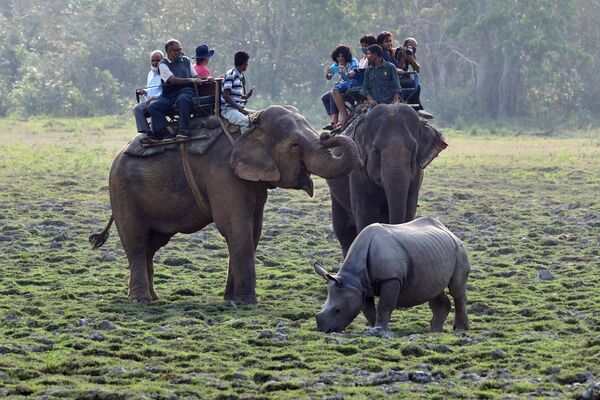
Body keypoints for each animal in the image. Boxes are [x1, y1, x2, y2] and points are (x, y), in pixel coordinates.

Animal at [91, 104, 358, 302]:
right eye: (294, 146)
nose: (327, 133)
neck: (248, 125)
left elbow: (253, 231)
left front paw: (231, 298)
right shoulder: (222, 175)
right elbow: (235, 228)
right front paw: (247, 301)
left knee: (151, 244)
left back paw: (152, 297)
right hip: (122, 191)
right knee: (136, 241)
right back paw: (141, 300)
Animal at [312, 217, 472, 332]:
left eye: (337, 310)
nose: (323, 330)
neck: (353, 277)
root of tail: (448, 230)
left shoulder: (391, 278)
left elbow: (385, 305)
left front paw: (379, 329)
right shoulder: (360, 286)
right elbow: (367, 309)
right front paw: (374, 328)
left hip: (459, 249)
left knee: (456, 289)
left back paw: (460, 329)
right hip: (434, 252)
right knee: (433, 290)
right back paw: (434, 331)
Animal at [324, 101, 446, 255]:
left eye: (414, 150)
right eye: (376, 151)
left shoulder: (417, 174)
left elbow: (409, 211)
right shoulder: (358, 169)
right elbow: (366, 215)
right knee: (344, 232)